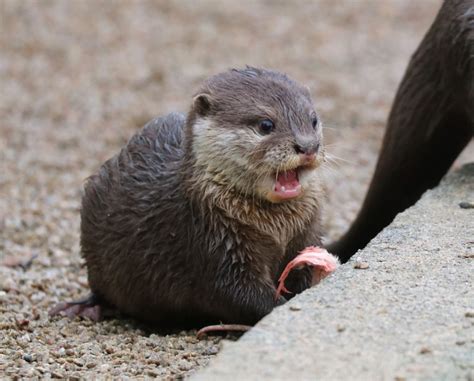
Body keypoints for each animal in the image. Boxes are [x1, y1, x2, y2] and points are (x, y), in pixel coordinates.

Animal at [51, 67, 326, 326]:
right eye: (266, 124)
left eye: (313, 120)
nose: (308, 146)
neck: (275, 229)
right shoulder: (213, 247)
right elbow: (238, 294)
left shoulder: (307, 232)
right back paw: (84, 307)